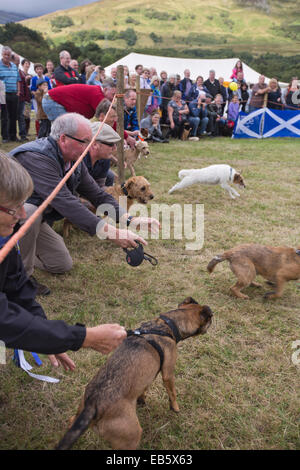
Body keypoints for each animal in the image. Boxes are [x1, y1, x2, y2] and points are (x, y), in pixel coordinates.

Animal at [55, 300, 212, 450]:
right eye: (209, 320)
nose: (212, 320)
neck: (166, 325)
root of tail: (93, 405)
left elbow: (144, 389)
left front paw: (142, 400)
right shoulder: (168, 373)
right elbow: (172, 393)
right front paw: (175, 408)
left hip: (79, 413)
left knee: (71, 421)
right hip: (131, 437)